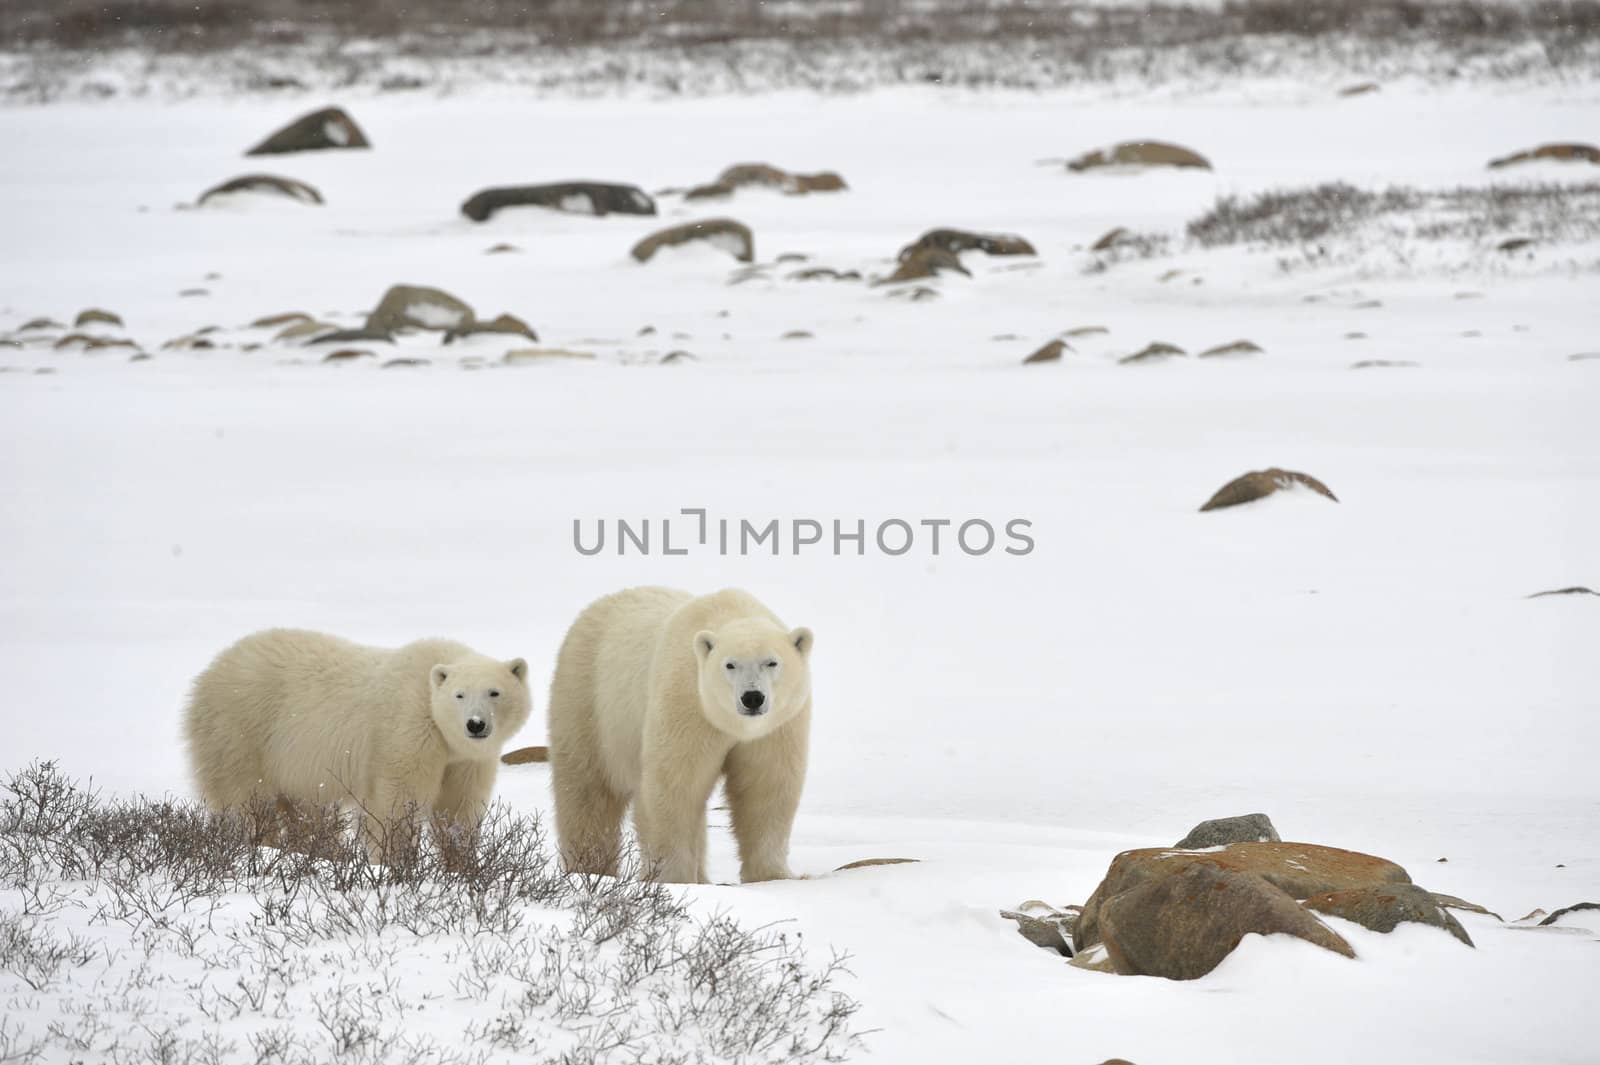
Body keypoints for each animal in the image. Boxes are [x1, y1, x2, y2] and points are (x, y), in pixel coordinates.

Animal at [181, 626, 531, 857]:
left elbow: (458, 805)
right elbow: (395, 803)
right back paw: (260, 844)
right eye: (460, 695)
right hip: (240, 730)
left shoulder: (466, 759)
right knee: (245, 799)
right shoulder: (408, 730)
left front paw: (461, 863)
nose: (476, 724)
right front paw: (395, 863)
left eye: (494, 692)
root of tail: (209, 672)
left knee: (303, 809)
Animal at [550, 585, 812, 882]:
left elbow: (766, 787)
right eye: (729, 665)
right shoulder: (686, 703)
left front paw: (774, 875)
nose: (752, 697)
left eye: (772, 662)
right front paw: (671, 877)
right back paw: (589, 869)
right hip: (589, 701)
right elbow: (675, 786)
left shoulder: (777, 727)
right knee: (587, 790)